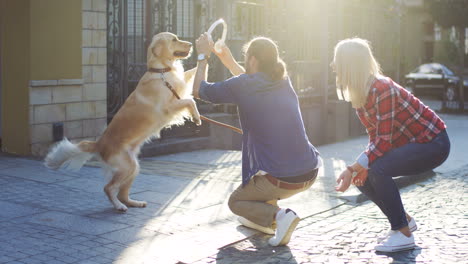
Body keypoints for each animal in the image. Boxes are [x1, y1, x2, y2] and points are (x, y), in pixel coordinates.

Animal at [44, 32, 202, 211]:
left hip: (133, 166)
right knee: (108, 188)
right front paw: (196, 117)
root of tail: (99, 144)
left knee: (122, 193)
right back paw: (119, 206)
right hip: (127, 167)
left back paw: (134, 202)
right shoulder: (168, 107)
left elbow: (192, 73)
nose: (191, 44)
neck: (160, 71)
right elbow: (190, 101)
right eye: (174, 39)